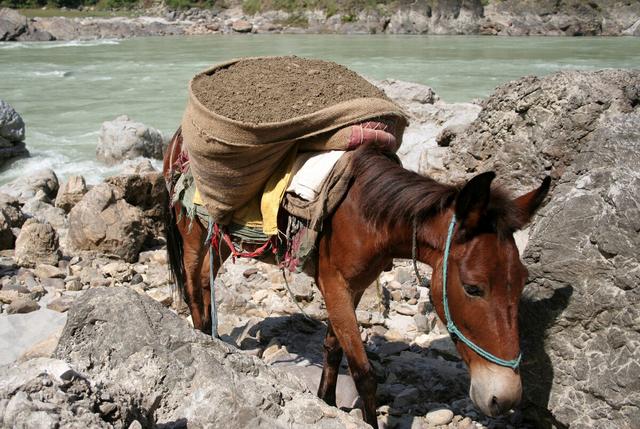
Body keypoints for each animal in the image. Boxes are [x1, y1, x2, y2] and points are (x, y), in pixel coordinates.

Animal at [163, 127, 550, 428]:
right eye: (473, 288)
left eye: (522, 282)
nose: (505, 398)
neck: (368, 215)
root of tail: (177, 137)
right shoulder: (335, 285)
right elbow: (363, 372)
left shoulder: (356, 286)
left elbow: (335, 349)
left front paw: (327, 401)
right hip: (192, 232)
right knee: (195, 288)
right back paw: (203, 340)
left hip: (219, 238)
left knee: (206, 284)